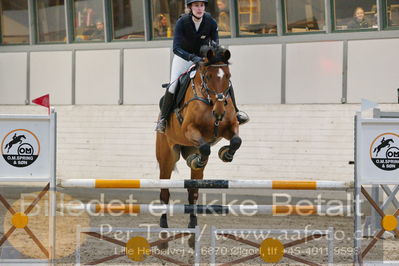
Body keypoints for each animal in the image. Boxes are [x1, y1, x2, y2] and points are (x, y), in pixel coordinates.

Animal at [155, 44, 244, 249]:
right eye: (208, 76)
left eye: (228, 76)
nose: (219, 112)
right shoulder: (190, 130)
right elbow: (205, 148)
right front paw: (200, 158)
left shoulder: (230, 127)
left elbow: (236, 141)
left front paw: (225, 154)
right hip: (166, 157)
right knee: (164, 193)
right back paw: (163, 235)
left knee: (193, 193)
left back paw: (192, 232)